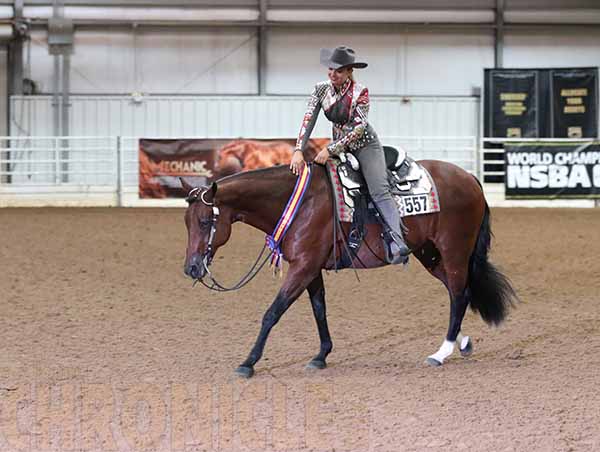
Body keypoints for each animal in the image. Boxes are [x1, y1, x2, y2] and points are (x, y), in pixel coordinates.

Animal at [179, 161, 516, 380]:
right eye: (186, 222)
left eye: (206, 222)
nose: (192, 268)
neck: (300, 202)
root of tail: (470, 178)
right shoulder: (310, 268)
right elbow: (319, 310)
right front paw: (320, 356)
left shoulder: (303, 267)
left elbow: (272, 312)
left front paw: (248, 363)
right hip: (430, 255)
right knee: (461, 292)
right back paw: (461, 343)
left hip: (453, 250)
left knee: (458, 295)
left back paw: (441, 353)